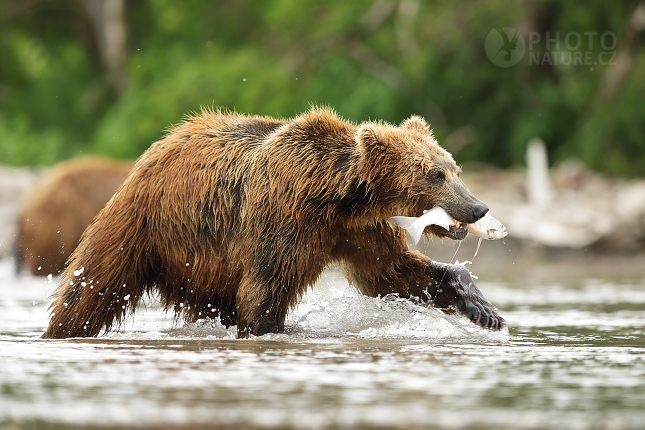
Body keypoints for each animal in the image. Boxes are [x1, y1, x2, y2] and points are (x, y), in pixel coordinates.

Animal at [42, 107, 504, 340]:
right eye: (434, 174)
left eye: (455, 168)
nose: (478, 208)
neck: (337, 197)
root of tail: (156, 148)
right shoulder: (283, 218)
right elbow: (265, 288)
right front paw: (269, 329)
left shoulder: (357, 231)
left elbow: (391, 274)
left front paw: (483, 309)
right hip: (141, 228)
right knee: (90, 289)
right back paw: (61, 331)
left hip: (204, 265)